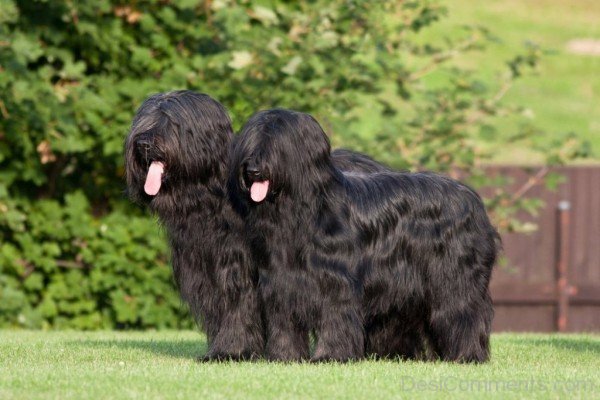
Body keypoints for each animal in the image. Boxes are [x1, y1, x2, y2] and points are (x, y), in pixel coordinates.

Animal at [125, 91, 390, 362]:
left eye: (171, 122)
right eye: (144, 119)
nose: (143, 144)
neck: (211, 196)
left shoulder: (239, 270)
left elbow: (239, 308)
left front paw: (231, 351)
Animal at [227, 108, 500, 362]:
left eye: (277, 143)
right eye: (251, 141)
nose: (253, 170)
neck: (303, 212)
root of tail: (474, 200)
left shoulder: (336, 282)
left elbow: (335, 317)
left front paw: (330, 355)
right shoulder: (282, 283)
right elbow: (285, 322)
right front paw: (285, 357)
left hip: (455, 276)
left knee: (464, 312)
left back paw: (467, 355)